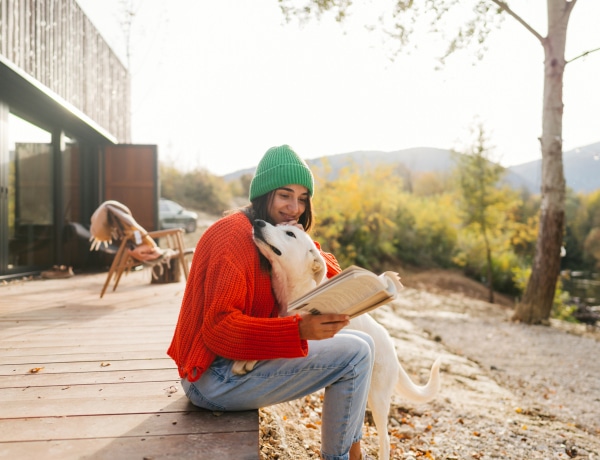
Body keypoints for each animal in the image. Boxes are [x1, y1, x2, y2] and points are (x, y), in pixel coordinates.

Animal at [234, 219, 440, 460]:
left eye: (290, 233)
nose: (258, 222)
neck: (297, 290)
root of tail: (392, 348)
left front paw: (246, 360)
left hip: (378, 398)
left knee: (386, 439)